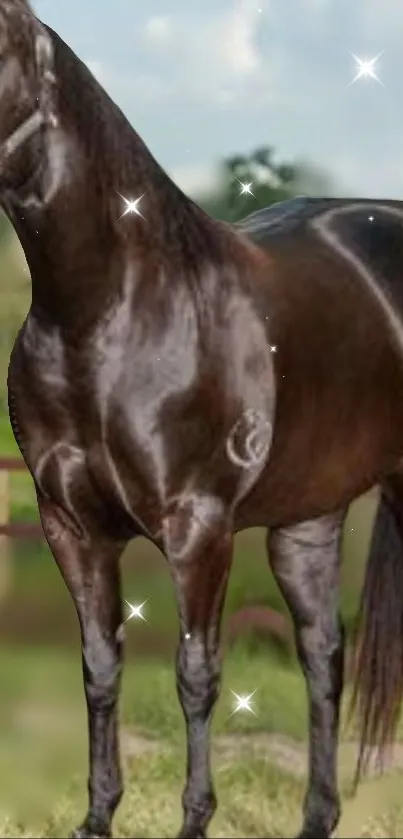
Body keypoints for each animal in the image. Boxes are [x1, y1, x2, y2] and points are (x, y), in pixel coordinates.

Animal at [1, 1, 403, 837]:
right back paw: (317, 816)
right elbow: (100, 666)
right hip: (306, 522)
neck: (109, 309)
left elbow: (195, 673)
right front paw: (97, 816)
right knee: (324, 653)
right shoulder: (71, 526)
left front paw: (193, 819)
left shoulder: (198, 527)